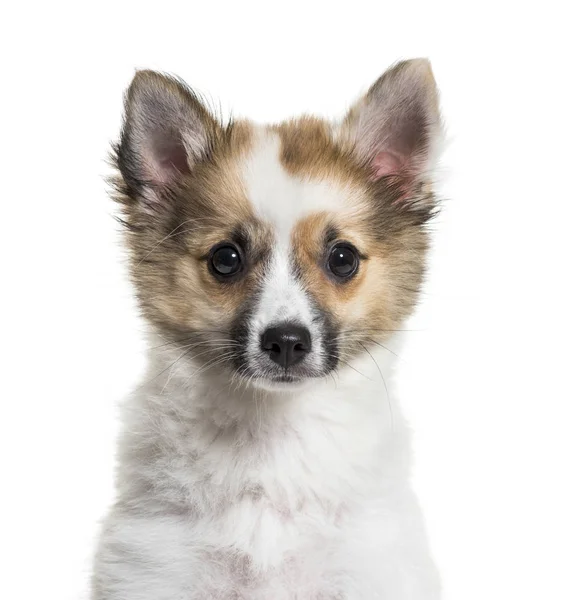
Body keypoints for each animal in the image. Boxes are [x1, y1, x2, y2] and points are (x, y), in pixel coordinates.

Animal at [92, 57, 442, 600]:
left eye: (342, 258)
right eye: (226, 259)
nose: (287, 342)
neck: (273, 441)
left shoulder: (370, 567)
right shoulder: (154, 566)